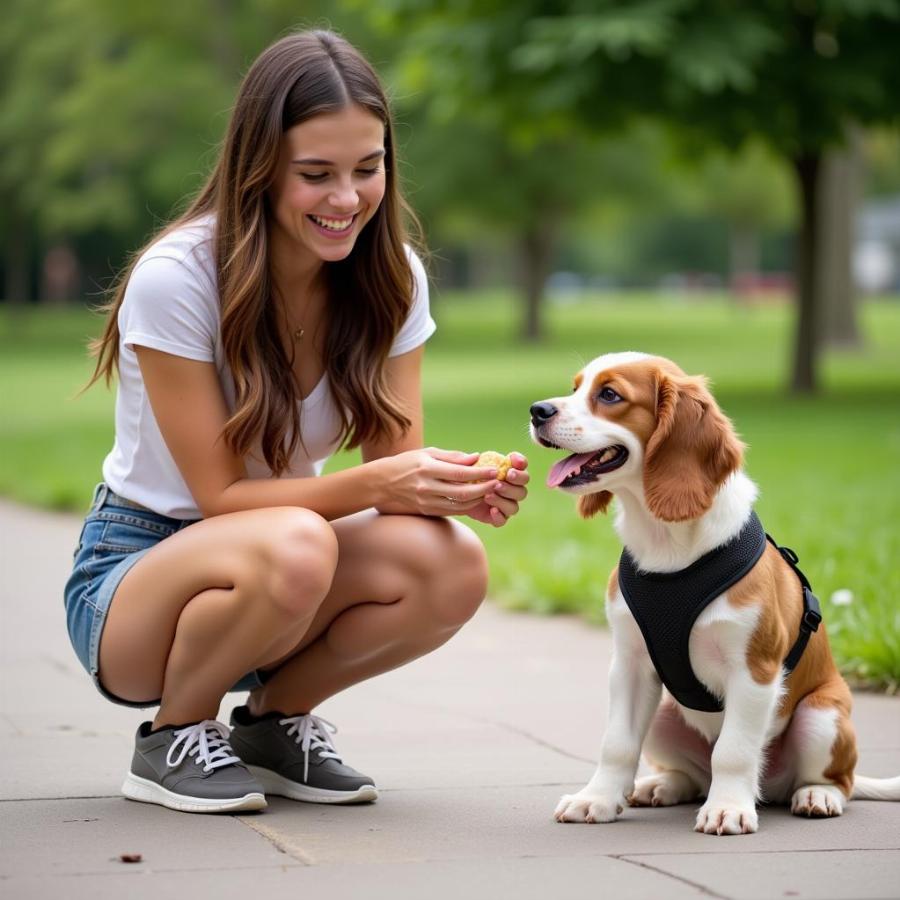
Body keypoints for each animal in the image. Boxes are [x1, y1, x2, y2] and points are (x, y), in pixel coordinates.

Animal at [532, 352, 896, 836]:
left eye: (609, 395)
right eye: (575, 388)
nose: (537, 411)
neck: (667, 544)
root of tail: (774, 788)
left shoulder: (754, 671)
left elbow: (734, 751)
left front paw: (727, 808)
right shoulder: (629, 665)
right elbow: (617, 743)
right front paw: (598, 798)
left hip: (822, 716)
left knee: (838, 779)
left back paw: (815, 794)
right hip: (664, 714)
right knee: (694, 775)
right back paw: (662, 786)